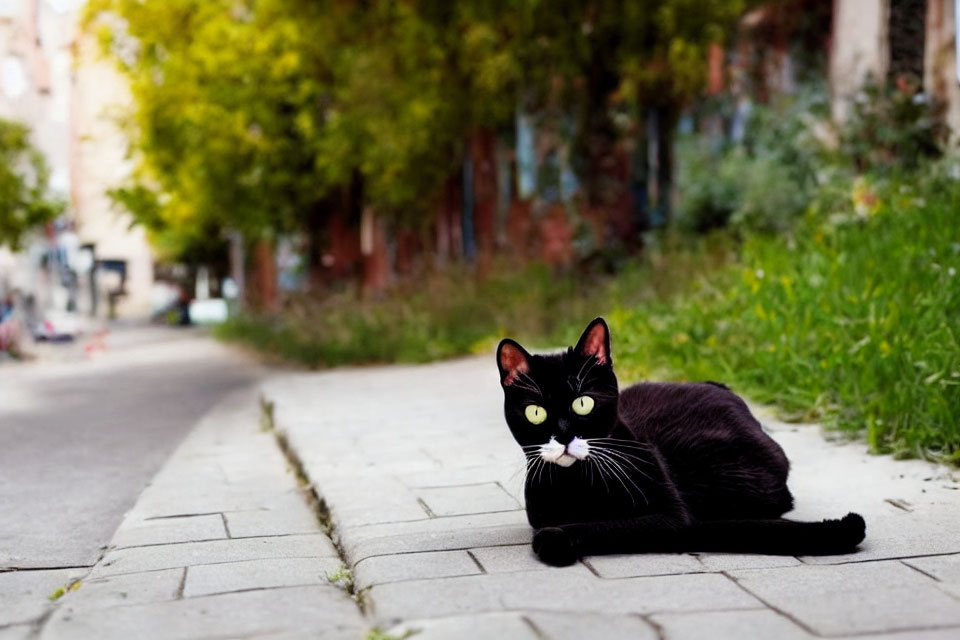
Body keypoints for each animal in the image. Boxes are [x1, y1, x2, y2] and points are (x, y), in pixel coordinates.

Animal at [498, 318, 868, 564]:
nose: (562, 436)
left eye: (583, 403)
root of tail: (717, 385)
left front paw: (557, 540)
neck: (574, 483)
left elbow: (601, 527)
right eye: (535, 413)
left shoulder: (670, 517)